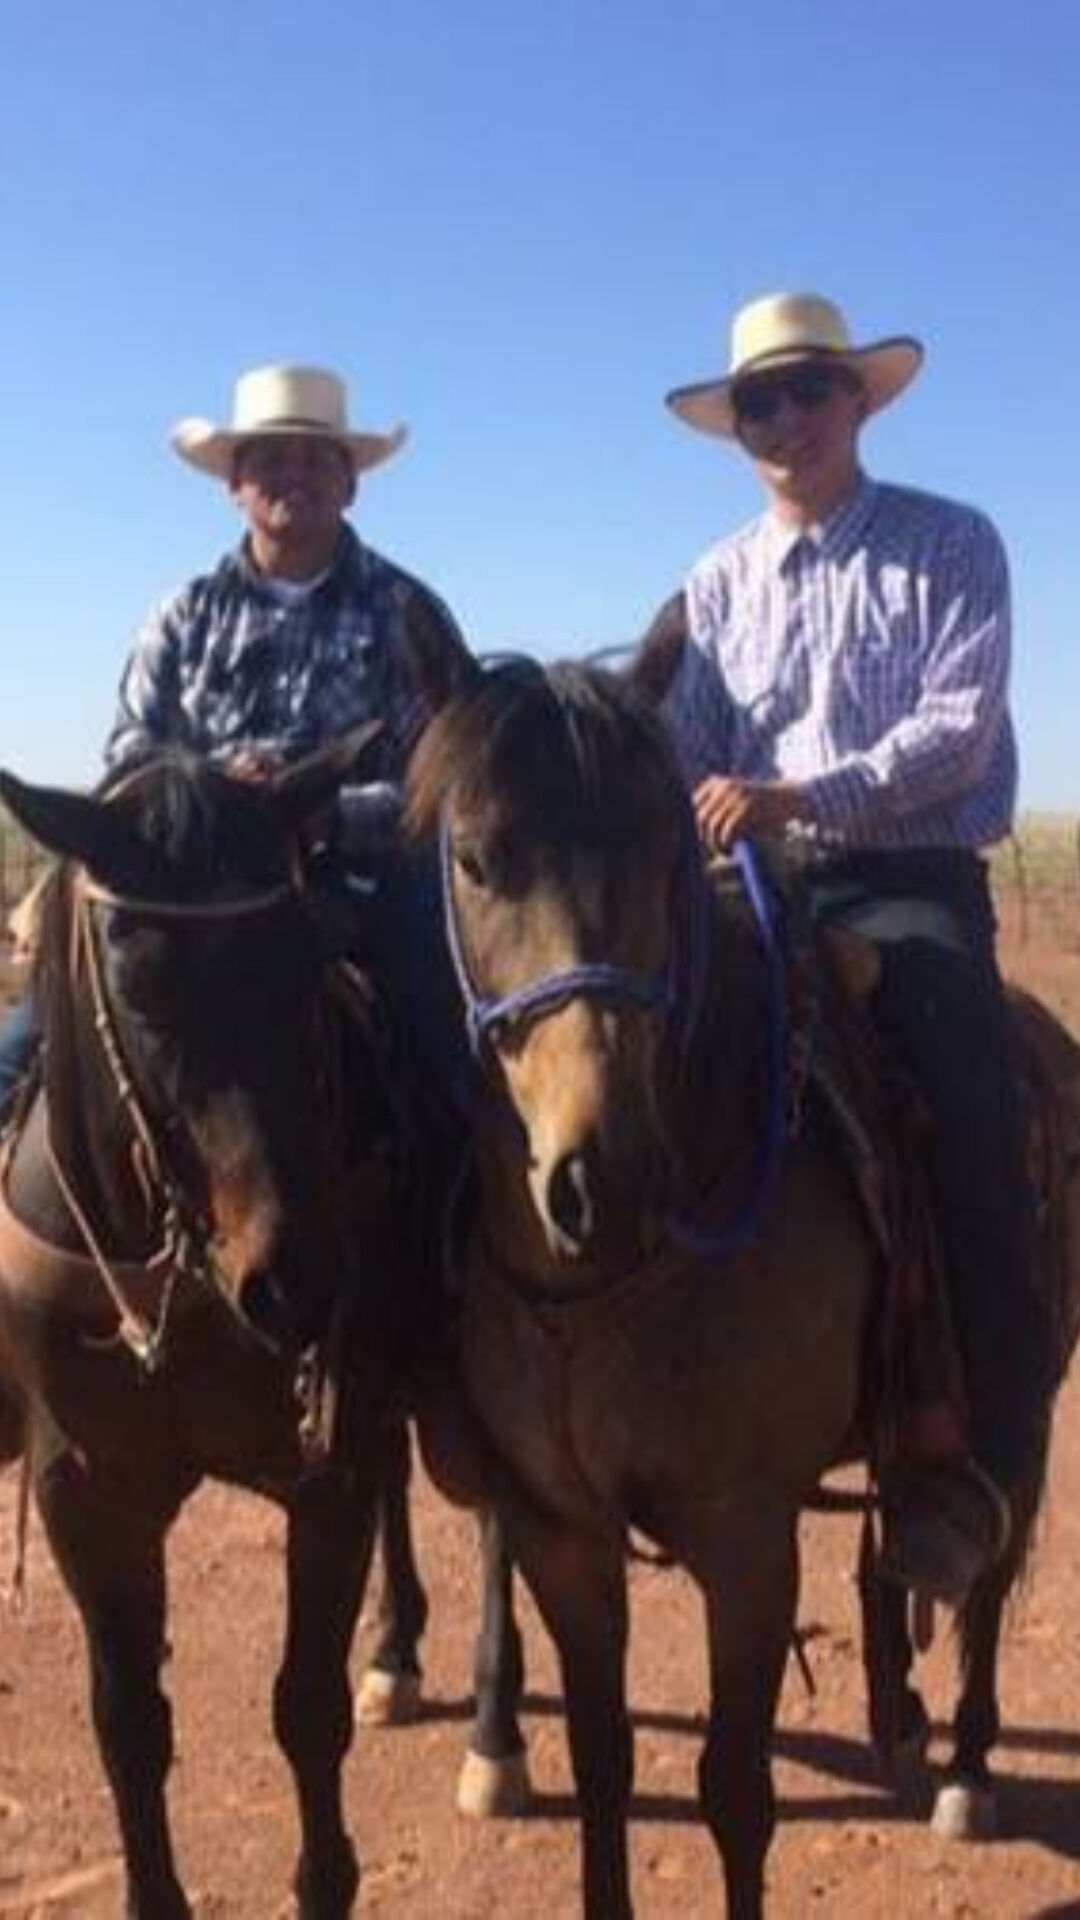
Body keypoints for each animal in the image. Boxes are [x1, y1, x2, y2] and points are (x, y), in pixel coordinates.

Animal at [0, 730, 418, 1920]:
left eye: (305, 953)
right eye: (138, 980)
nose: (296, 1278)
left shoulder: (326, 1475)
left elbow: (307, 1708)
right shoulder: (83, 1493)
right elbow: (130, 1725)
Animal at [400, 653, 1080, 1920]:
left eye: (668, 855)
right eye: (474, 858)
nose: (601, 1177)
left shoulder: (749, 1536)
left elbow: (734, 1789)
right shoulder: (562, 1526)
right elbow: (606, 1763)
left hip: (1035, 1387)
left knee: (993, 1558)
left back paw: (968, 1768)